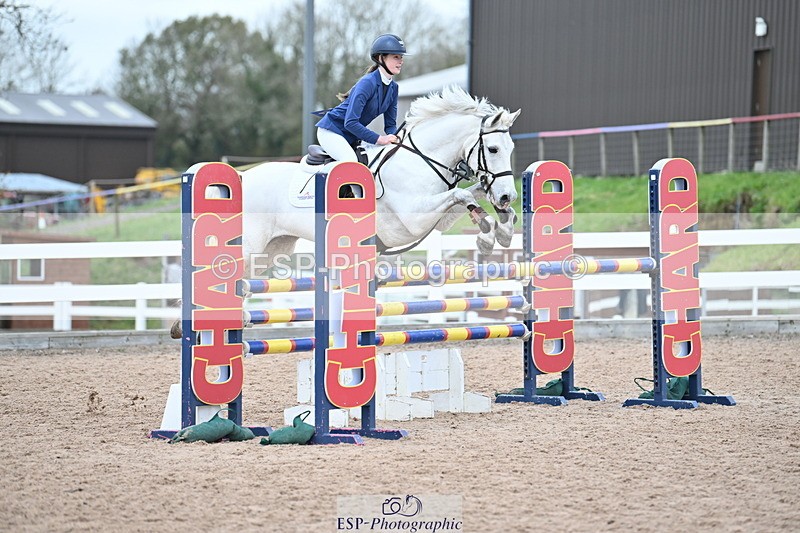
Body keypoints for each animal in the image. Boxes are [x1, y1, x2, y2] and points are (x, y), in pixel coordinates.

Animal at [241, 85, 520, 275]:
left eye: (511, 148)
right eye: (493, 149)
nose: (508, 196)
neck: (421, 159)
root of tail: (243, 177)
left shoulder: (438, 220)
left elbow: (474, 191)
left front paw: (505, 227)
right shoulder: (414, 219)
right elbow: (462, 194)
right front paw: (487, 235)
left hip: (274, 248)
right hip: (251, 246)